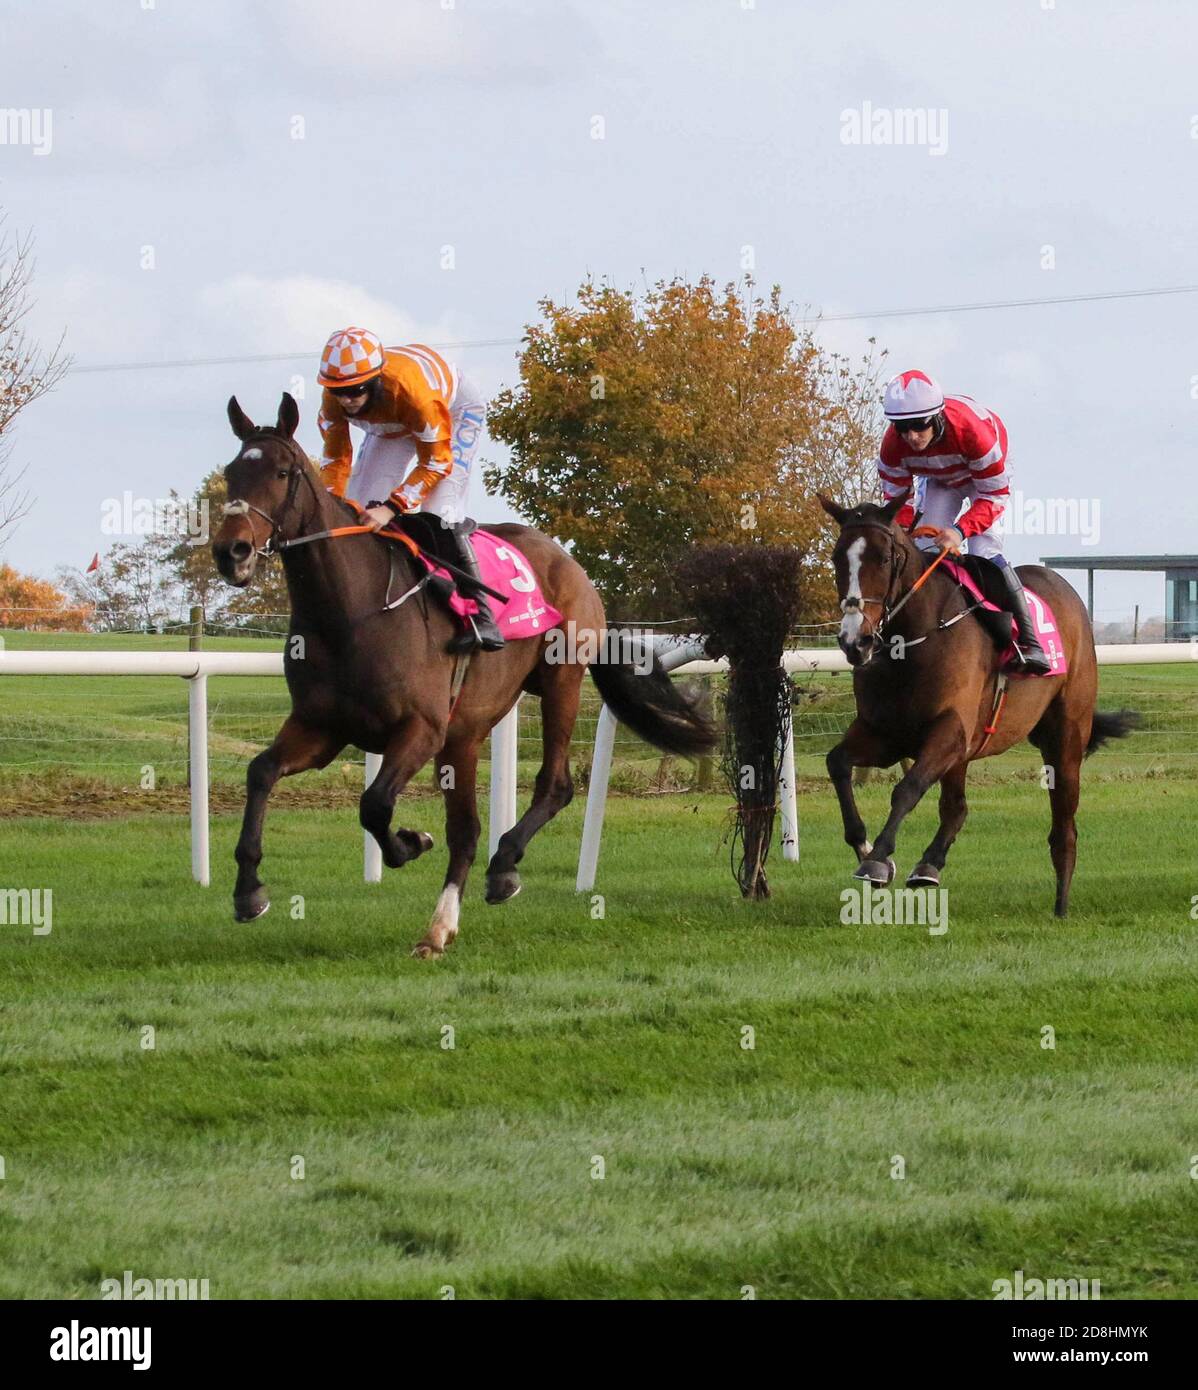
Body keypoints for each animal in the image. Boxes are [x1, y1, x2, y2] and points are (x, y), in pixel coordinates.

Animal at [212, 397, 717, 950]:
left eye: (282, 472)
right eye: (231, 473)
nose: (230, 551)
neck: (350, 611)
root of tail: (567, 560)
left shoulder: (421, 729)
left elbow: (374, 804)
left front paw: (410, 842)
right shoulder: (321, 728)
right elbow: (261, 772)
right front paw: (248, 891)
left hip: (559, 681)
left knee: (554, 785)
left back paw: (499, 869)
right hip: (466, 734)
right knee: (467, 830)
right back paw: (443, 923)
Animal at [822, 494, 1139, 917]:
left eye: (884, 559)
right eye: (837, 558)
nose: (854, 641)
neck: (913, 643)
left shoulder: (950, 731)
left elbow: (906, 789)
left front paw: (877, 859)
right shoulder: (885, 734)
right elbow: (838, 763)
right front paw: (867, 847)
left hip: (1066, 738)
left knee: (1064, 826)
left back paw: (1061, 903)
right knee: (956, 808)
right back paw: (929, 865)